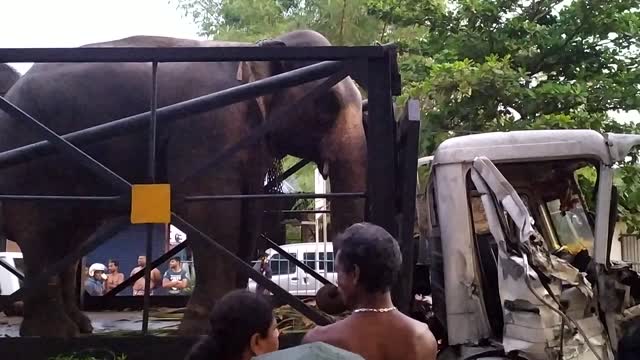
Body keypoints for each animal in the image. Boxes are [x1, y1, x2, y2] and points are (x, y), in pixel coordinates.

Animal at [0, 30, 364, 338]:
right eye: (326, 106)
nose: (329, 293)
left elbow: (248, 214)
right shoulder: (207, 126)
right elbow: (212, 213)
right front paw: (200, 331)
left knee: (70, 238)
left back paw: (80, 328)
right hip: (32, 162)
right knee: (41, 233)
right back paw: (51, 335)